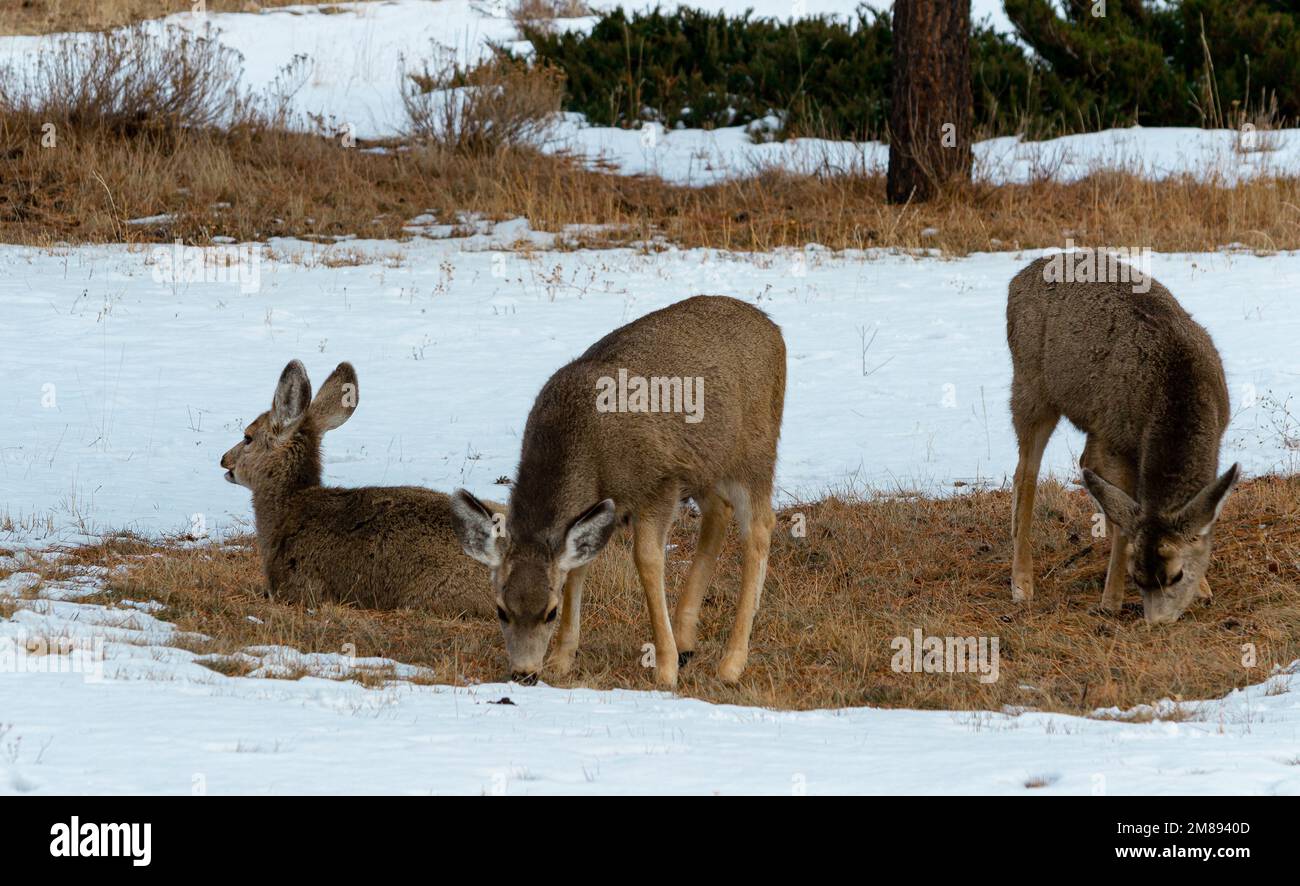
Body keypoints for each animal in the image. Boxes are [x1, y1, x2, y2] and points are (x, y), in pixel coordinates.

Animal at [450, 295, 786, 688]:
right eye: (501, 610)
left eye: (549, 612)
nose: (524, 673)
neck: (588, 447)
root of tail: (774, 329)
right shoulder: (599, 503)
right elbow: (578, 567)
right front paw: (562, 660)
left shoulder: (660, 482)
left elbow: (648, 559)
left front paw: (665, 668)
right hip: (707, 466)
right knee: (719, 511)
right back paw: (687, 641)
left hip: (754, 453)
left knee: (760, 526)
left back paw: (731, 662)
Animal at [1007, 254, 1240, 623]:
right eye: (1137, 576)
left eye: (1177, 575)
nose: (1158, 623)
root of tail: (1018, 278)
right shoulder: (1115, 441)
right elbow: (1126, 524)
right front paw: (1111, 600)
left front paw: (1204, 588)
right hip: (1030, 387)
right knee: (1025, 474)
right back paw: (1022, 583)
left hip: (1088, 421)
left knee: (1081, 463)